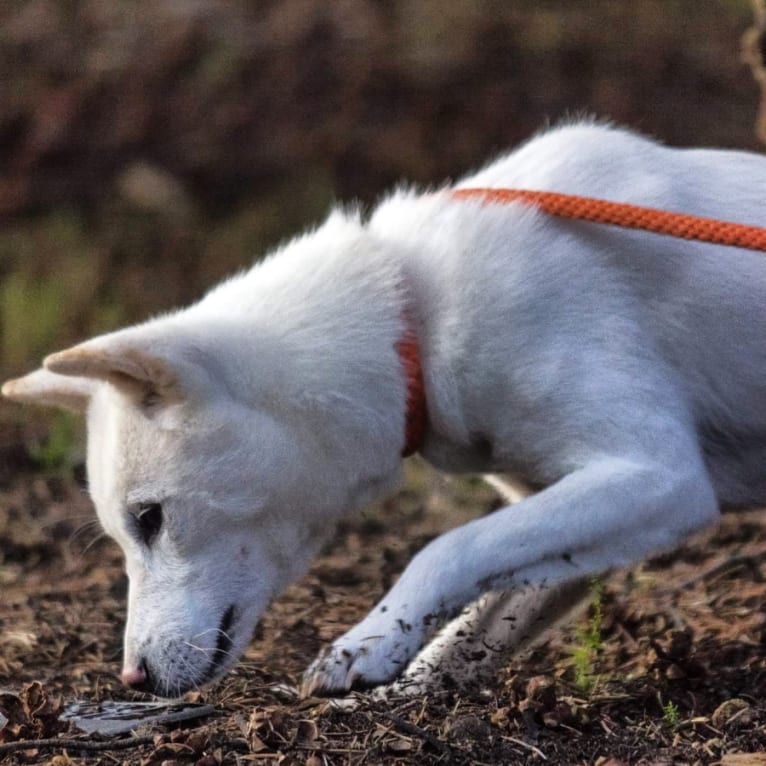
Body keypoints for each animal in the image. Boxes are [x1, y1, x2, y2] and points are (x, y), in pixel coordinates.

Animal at [1, 121, 766, 704]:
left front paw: (363, 644)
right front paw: (400, 688)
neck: (412, 315)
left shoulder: (660, 475)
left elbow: (448, 547)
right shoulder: (569, 521)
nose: (132, 678)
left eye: (150, 520)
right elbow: (475, 623)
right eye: (128, 532)